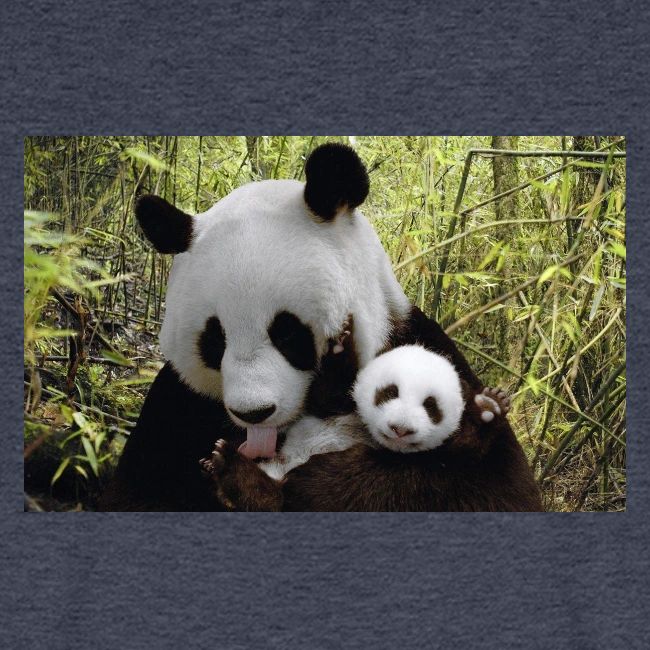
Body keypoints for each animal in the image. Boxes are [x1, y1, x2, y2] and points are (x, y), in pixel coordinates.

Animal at [99, 143, 541, 512]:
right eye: (215, 340)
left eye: (287, 333)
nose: (254, 413)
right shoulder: (178, 404)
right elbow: (139, 492)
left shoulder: (420, 346)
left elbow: (489, 487)